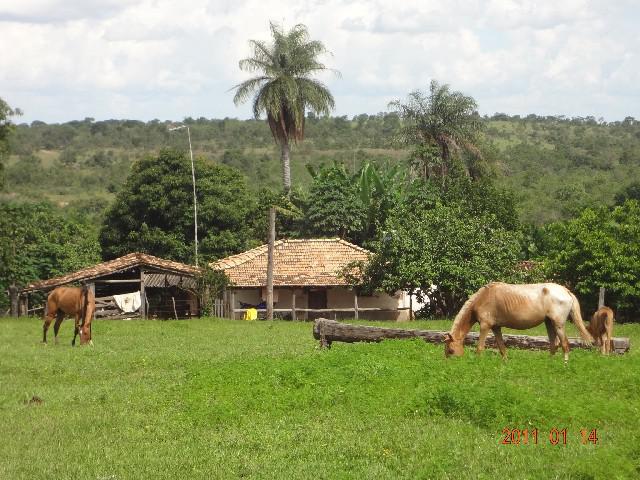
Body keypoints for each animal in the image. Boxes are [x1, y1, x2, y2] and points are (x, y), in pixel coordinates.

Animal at [442, 282, 592, 360]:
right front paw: (505, 362)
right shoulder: (496, 327)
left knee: (565, 344)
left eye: (450, 350)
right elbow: (502, 347)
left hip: (558, 324)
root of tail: (566, 291)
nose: (448, 363)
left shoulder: (485, 326)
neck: (483, 298)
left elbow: (480, 347)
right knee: (553, 344)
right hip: (549, 323)